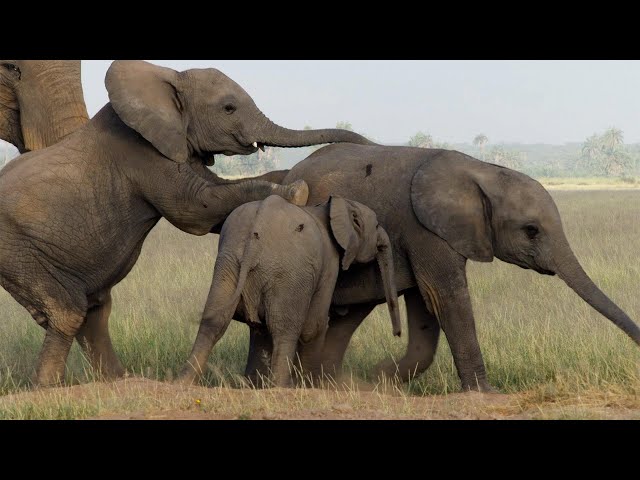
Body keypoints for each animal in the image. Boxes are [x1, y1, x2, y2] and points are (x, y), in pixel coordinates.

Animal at [0, 60, 374, 387]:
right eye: (228, 108)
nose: (370, 145)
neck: (171, 78)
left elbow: (212, 197)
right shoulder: (142, 153)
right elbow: (196, 207)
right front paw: (296, 190)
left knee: (94, 310)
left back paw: (119, 381)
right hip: (16, 251)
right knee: (67, 310)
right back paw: (47, 387)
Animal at [178, 194, 401, 387]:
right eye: (377, 225)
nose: (397, 334)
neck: (330, 208)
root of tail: (258, 225)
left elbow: (260, 329)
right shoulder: (330, 263)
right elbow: (314, 326)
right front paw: (309, 385)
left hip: (228, 261)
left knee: (214, 320)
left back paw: (184, 381)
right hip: (289, 272)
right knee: (284, 328)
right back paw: (282, 386)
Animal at [243, 145, 640, 392]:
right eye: (531, 230)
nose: (636, 347)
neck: (482, 170)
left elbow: (426, 305)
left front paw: (379, 379)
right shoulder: (424, 230)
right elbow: (445, 295)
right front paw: (485, 393)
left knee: (347, 316)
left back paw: (328, 384)